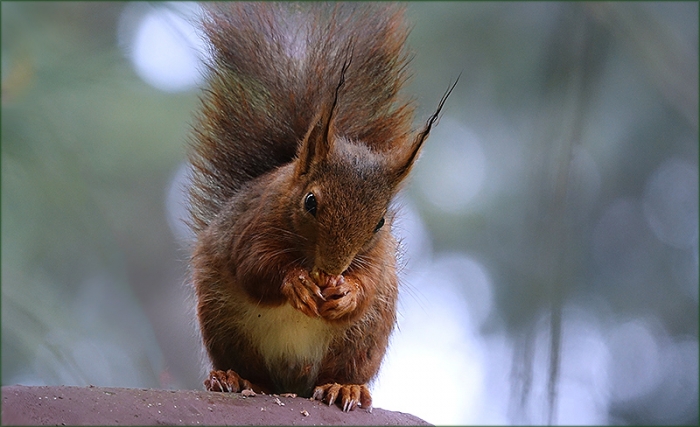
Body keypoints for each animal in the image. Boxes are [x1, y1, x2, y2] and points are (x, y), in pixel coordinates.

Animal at [187, 2, 456, 412]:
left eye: (380, 223)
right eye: (310, 202)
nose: (331, 270)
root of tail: (291, 384)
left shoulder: (377, 259)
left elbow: (367, 284)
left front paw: (347, 294)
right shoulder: (252, 225)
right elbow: (254, 266)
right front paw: (295, 282)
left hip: (360, 342)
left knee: (340, 371)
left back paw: (343, 389)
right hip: (226, 326)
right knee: (251, 370)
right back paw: (236, 378)